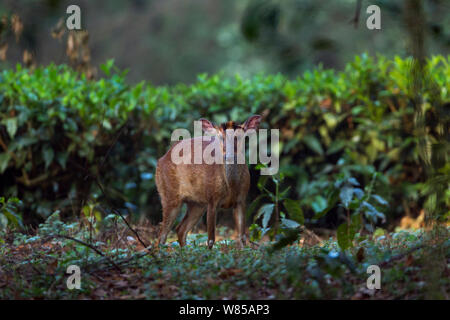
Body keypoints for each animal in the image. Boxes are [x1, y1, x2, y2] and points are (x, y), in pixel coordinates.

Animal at [155, 114, 262, 249]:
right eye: (221, 137)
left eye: (238, 137)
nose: (229, 156)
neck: (231, 186)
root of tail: (161, 159)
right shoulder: (212, 199)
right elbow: (211, 239)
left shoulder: (241, 200)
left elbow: (242, 237)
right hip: (168, 193)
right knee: (162, 235)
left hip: (197, 204)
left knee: (180, 229)